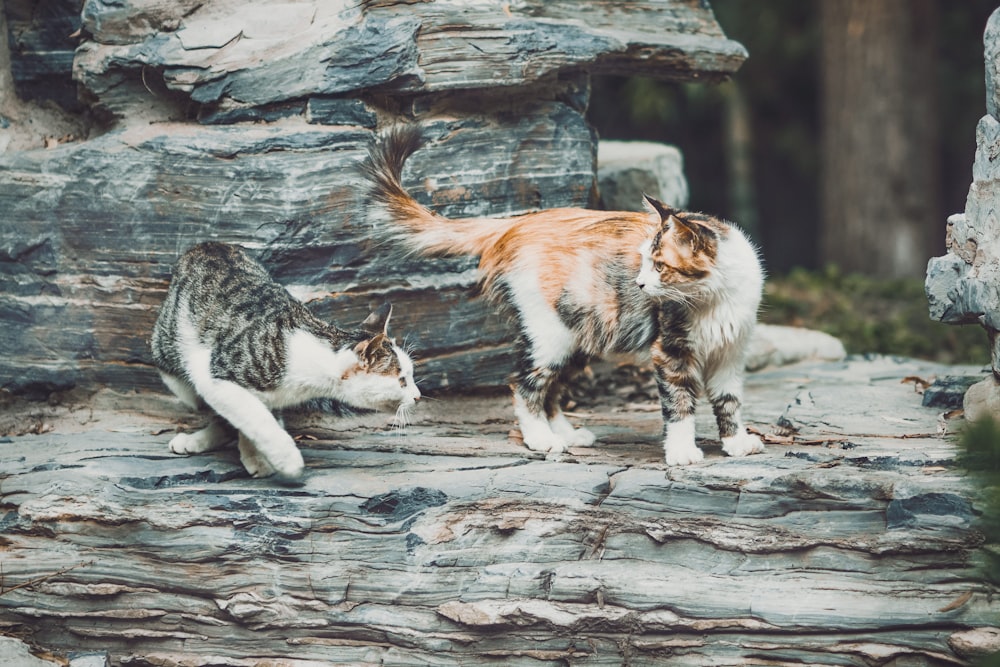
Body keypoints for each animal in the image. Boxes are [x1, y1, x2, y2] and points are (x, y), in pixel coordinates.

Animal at [150, 243, 420, 482]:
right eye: (402, 380)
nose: (418, 396)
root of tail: (208, 244)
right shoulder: (214, 375)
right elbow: (256, 417)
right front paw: (287, 460)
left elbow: (253, 417)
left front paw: (255, 456)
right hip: (173, 365)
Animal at [364, 128, 760, 468]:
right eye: (645, 261)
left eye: (659, 265)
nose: (639, 283)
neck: (716, 298)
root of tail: (517, 222)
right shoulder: (671, 351)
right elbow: (679, 405)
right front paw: (681, 451)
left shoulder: (731, 353)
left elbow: (729, 401)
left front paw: (735, 442)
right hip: (550, 334)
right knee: (525, 385)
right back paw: (541, 439)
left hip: (579, 337)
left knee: (551, 391)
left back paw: (566, 434)